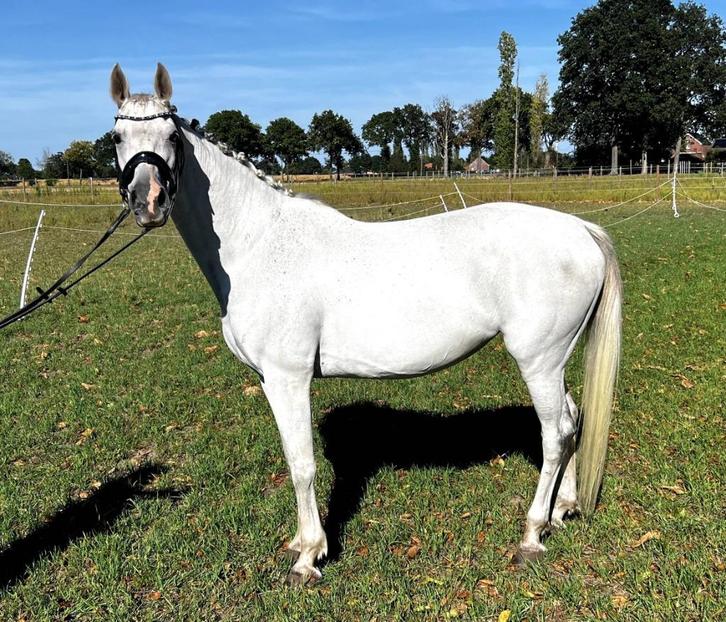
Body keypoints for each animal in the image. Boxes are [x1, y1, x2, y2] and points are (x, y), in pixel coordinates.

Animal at [109, 63, 621, 585]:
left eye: (172, 136)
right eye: (116, 137)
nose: (147, 201)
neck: (260, 243)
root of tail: (581, 230)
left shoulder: (288, 379)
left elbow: (302, 464)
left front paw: (308, 557)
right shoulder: (272, 380)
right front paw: (300, 542)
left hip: (539, 361)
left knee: (554, 434)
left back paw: (532, 534)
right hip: (554, 362)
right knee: (572, 421)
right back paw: (564, 509)